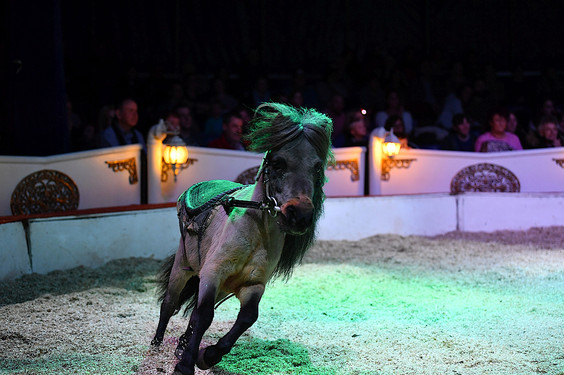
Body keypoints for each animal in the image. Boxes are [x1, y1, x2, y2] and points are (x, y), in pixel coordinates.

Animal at [151, 103, 334, 375]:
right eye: (277, 163)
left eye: (317, 167)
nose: (299, 215)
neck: (255, 232)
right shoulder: (212, 274)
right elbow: (204, 316)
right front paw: (184, 366)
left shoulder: (252, 285)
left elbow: (246, 318)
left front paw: (207, 356)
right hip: (183, 269)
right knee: (169, 304)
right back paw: (156, 345)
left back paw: (183, 345)